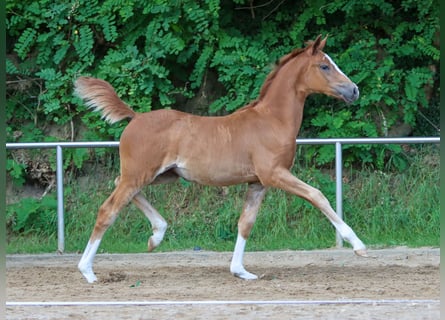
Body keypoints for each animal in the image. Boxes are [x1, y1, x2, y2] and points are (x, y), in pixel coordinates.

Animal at [76, 35, 366, 284]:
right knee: (108, 210)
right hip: (140, 174)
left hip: (160, 175)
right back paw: (88, 271)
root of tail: (135, 117)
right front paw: (358, 245)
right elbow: (317, 195)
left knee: (118, 185)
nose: (354, 90)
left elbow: (246, 223)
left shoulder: (258, 182)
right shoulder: (275, 173)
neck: (272, 121)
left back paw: (156, 235)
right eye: (325, 66)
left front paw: (240, 271)